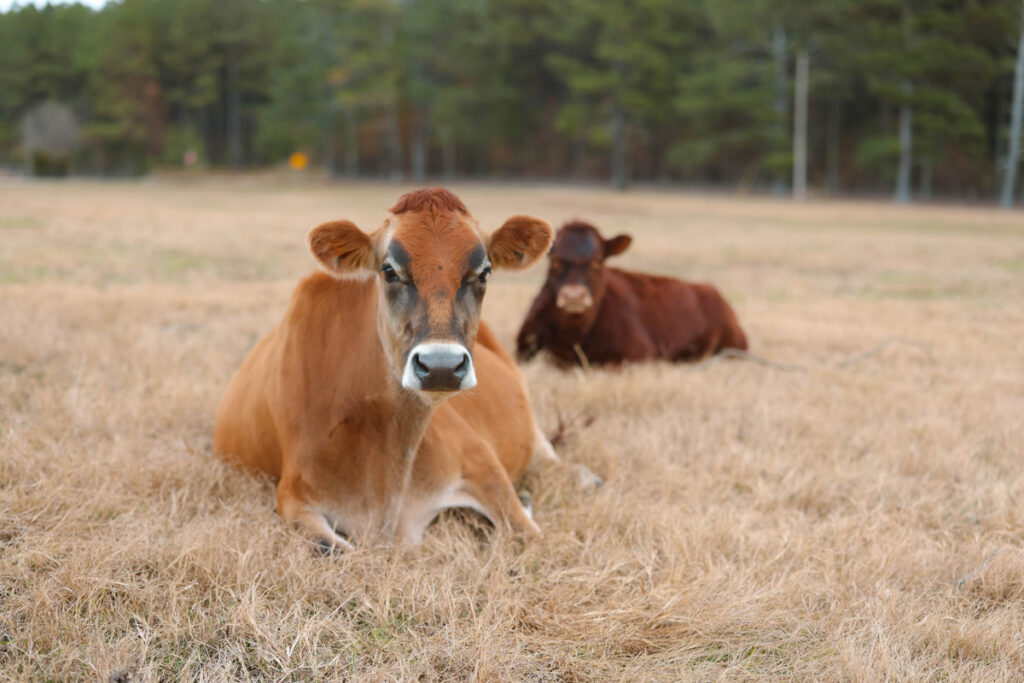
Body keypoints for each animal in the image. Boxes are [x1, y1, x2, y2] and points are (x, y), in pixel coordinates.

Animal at [217, 187, 573, 548]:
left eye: (484, 271)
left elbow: (529, 533)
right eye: (388, 270)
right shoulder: (293, 496)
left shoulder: (481, 462)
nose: (441, 365)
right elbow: (332, 548)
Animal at [516, 220, 749, 368]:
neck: (573, 336)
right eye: (554, 260)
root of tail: (710, 288)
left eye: (597, 261)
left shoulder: (641, 355)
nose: (574, 296)